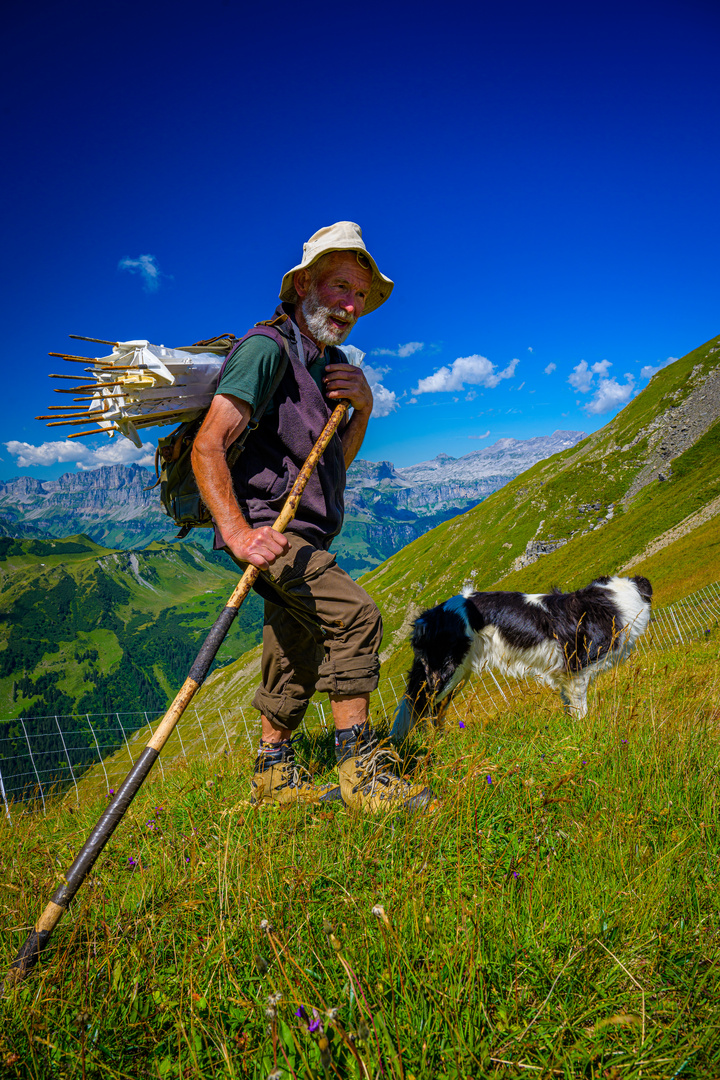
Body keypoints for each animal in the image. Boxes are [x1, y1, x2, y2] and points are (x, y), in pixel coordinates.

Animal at [390, 574, 656, 743]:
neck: (613, 599)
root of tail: (426, 618)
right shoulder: (577, 672)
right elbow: (581, 709)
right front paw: (584, 733)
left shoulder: (564, 677)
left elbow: (568, 708)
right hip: (444, 672)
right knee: (422, 707)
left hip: (459, 676)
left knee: (435, 710)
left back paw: (442, 744)